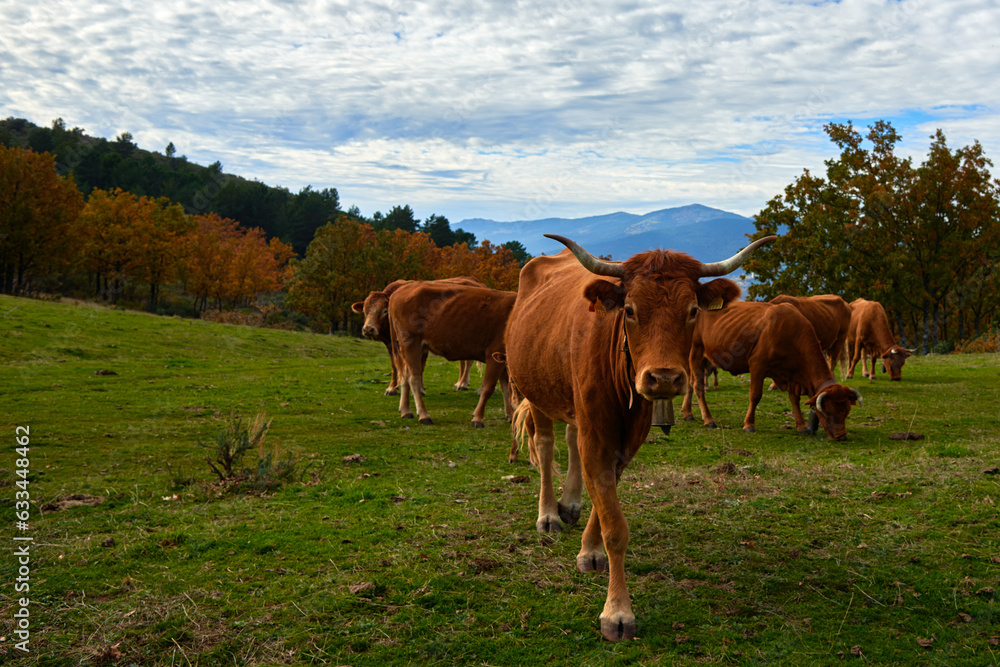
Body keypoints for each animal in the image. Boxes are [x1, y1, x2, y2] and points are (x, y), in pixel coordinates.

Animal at [352, 278, 484, 396]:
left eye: (385, 311)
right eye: (364, 310)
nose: (368, 329)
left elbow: (419, 366)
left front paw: (418, 389)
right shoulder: (391, 344)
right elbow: (395, 365)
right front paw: (392, 388)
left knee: (469, 360)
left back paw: (463, 384)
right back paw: (460, 383)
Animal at [390, 280, 516, 428]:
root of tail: (401, 289)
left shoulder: (503, 361)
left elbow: (506, 388)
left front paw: (510, 415)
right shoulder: (494, 354)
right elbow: (488, 388)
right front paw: (478, 418)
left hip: (409, 347)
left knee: (405, 376)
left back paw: (406, 411)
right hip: (411, 343)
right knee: (413, 378)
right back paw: (424, 415)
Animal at [504, 234, 776, 640]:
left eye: (693, 310)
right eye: (630, 310)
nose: (663, 378)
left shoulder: (624, 439)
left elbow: (604, 500)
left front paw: (590, 550)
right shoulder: (597, 434)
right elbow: (615, 524)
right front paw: (617, 612)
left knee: (569, 439)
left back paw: (569, 504)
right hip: (534, 390)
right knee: (546, 444)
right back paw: (550, 514)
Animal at [684, 302, 864, 438]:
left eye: (846, 411)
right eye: (827, 412)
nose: (841, 436)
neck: (791, 333)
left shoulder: (792, 375)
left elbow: (794, 399)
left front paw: (802, 426)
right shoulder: (758, 365)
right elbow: (755, 396)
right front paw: (749, 424)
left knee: (691, 383)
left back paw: (687, 413)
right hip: (696, 354)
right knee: (697, 385)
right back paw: (708, 419)